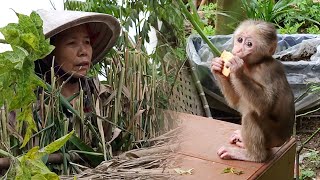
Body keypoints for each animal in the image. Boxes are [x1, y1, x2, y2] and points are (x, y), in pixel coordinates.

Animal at [210, 19, 296, 162]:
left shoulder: (266, 71)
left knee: (250, 114)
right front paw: (217, 67)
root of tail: (283, 140)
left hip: (272, 137)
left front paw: (237, 70)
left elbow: (266, 104)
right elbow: (236, 101)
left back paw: (253, 156)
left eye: (249, 44)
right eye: (240, 40)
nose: (238, 49)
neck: (253, 64)